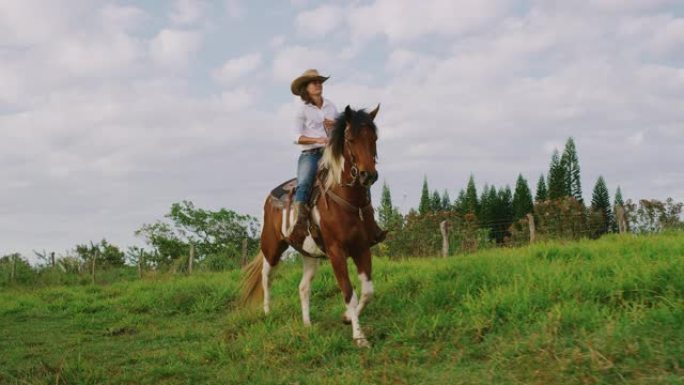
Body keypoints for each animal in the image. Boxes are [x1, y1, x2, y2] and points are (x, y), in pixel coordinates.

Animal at [242, 103, 382, 346]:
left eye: (374, 138)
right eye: (350, 139)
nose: (368, 175)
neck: (348, 202)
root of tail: (270, 197)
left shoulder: (362, 248)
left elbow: (367, 291)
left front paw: (347, 318)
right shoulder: (336, 253)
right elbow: (349, 293)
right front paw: (359, 337)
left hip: (310, 255)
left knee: (303, 287)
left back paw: (307, 324)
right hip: (272, 247)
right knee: (266, 275)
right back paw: (267, 311)